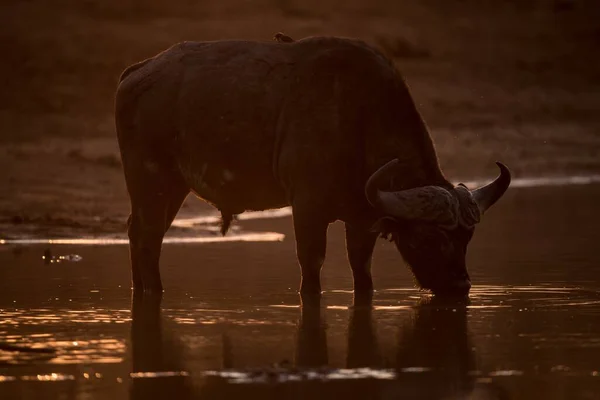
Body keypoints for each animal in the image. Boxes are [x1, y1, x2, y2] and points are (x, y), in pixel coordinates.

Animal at [116, 35, 510, 296]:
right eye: (432, 237)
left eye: (466, 237)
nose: (460, 285)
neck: (358, 120)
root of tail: (136, 72)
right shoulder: (307, 208)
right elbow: (312, 268)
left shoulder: (361, 219)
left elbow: (361, 271)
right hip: (152, 181)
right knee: (148, 237)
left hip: (172, 187)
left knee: (142, 234)